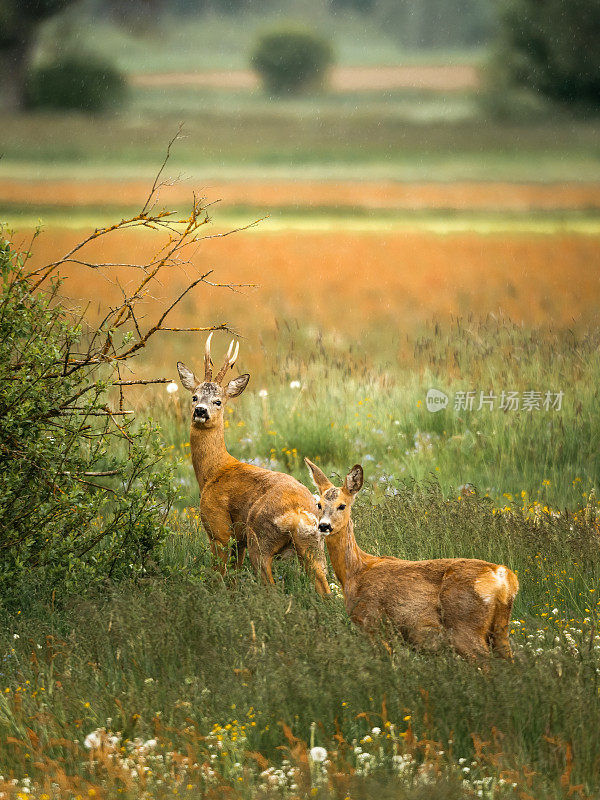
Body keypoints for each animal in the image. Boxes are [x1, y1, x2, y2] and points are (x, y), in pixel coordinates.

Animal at [176, 336, 330, 592]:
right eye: (194, 397)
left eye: (218, 401)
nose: (200, 411)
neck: (213, 472)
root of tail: (298, 514)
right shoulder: (239, 541)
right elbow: (234, 578)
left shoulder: (218, 526)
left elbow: (219, 575)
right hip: (314, 545)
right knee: (324, 587)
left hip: (259, 539)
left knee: (270, 587)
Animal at [302, 460, 516, 660]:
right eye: (319, 504)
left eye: (342, 505)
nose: (324, 526)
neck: (355, 571)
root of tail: (505, 578)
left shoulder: (372, 622)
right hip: (500, 631)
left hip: (465, 626)